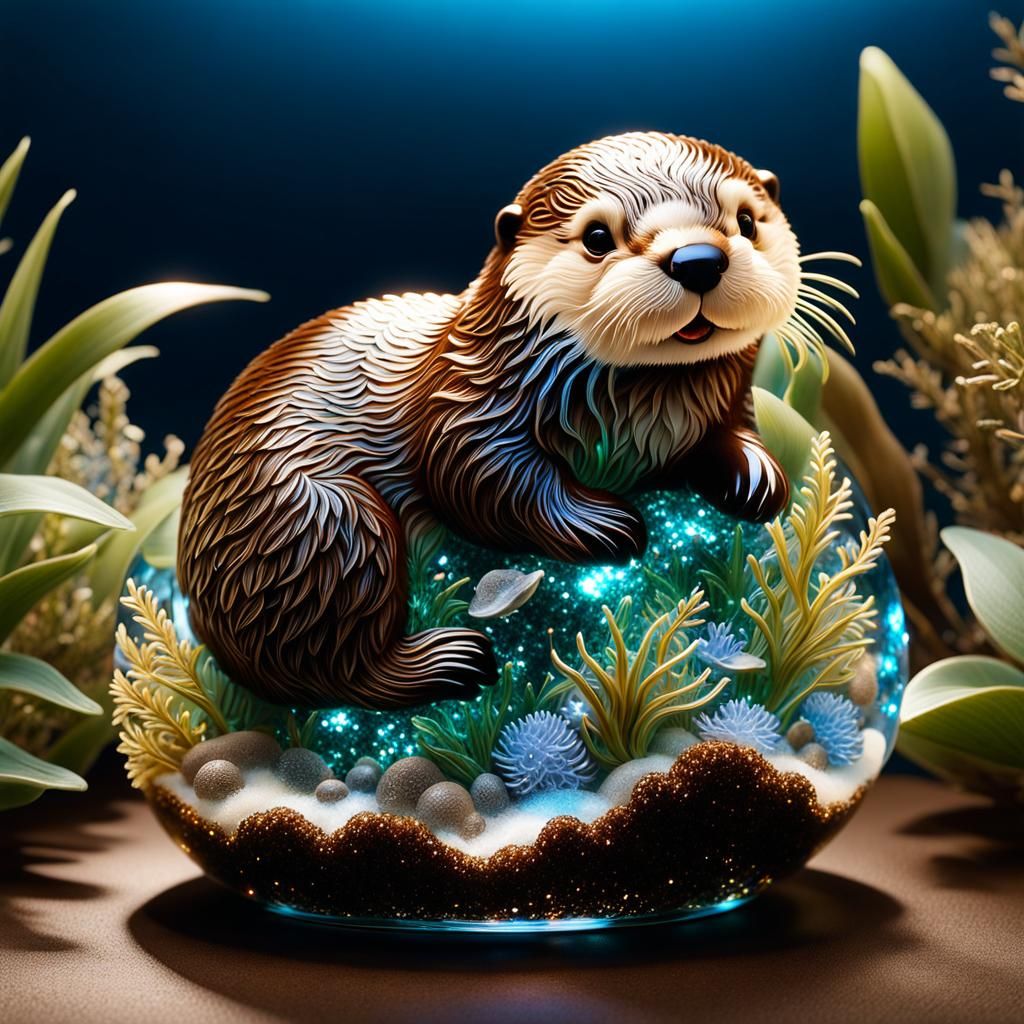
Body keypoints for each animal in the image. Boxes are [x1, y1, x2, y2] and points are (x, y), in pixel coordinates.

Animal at [179, 131, 808, 710]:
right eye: (597, 237)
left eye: (746, 220)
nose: (698, 260)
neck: (643, 414)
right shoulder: (467, 407)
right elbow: (484, 477)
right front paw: (603, 521)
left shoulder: (719, 406)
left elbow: (730, 437)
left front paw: (757, 476)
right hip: (318, 523)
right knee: (331, 667)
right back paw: (447, 658)